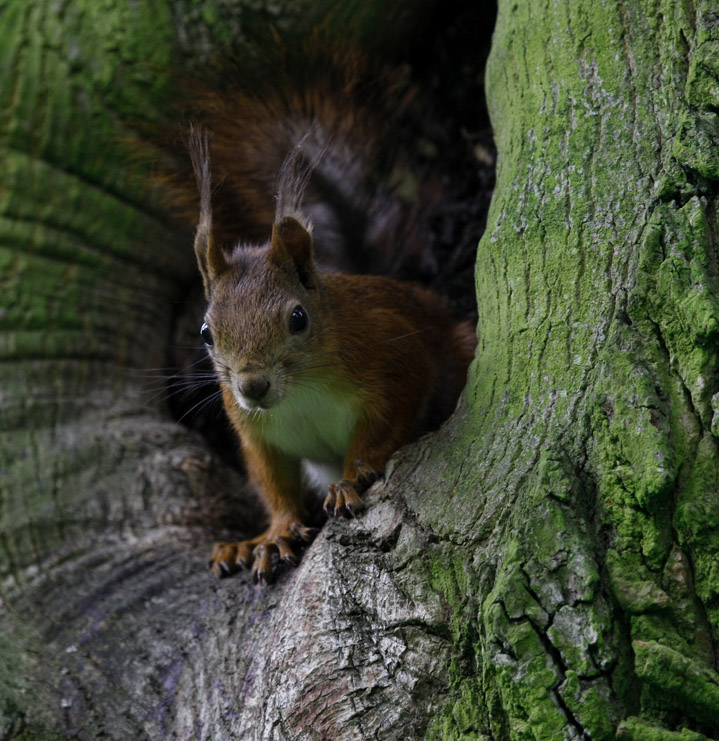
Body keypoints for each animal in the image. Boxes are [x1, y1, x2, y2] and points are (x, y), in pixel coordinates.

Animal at [186, 65, 478, 584]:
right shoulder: (254, 431)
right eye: (206, 334)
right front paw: (271, 535)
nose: (252, 386)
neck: (300, 393)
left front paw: (349, 480)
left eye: (298, 318)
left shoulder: (393, 358)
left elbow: (383, 428)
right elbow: (273, 482)